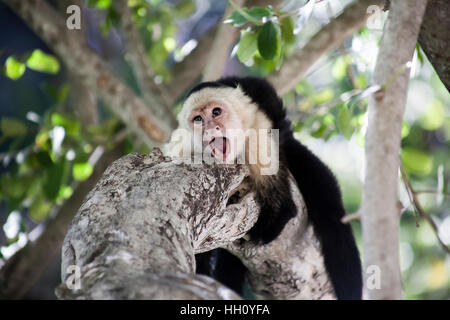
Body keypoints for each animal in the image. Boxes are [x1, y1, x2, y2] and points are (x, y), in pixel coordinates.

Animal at [163, 75, 364, 300]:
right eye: (198, 119)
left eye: (216, 112)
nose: (210, 128)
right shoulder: (184, 149)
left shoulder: (257, 134)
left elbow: (284, 206)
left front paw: (267, 227)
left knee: (331, 214)